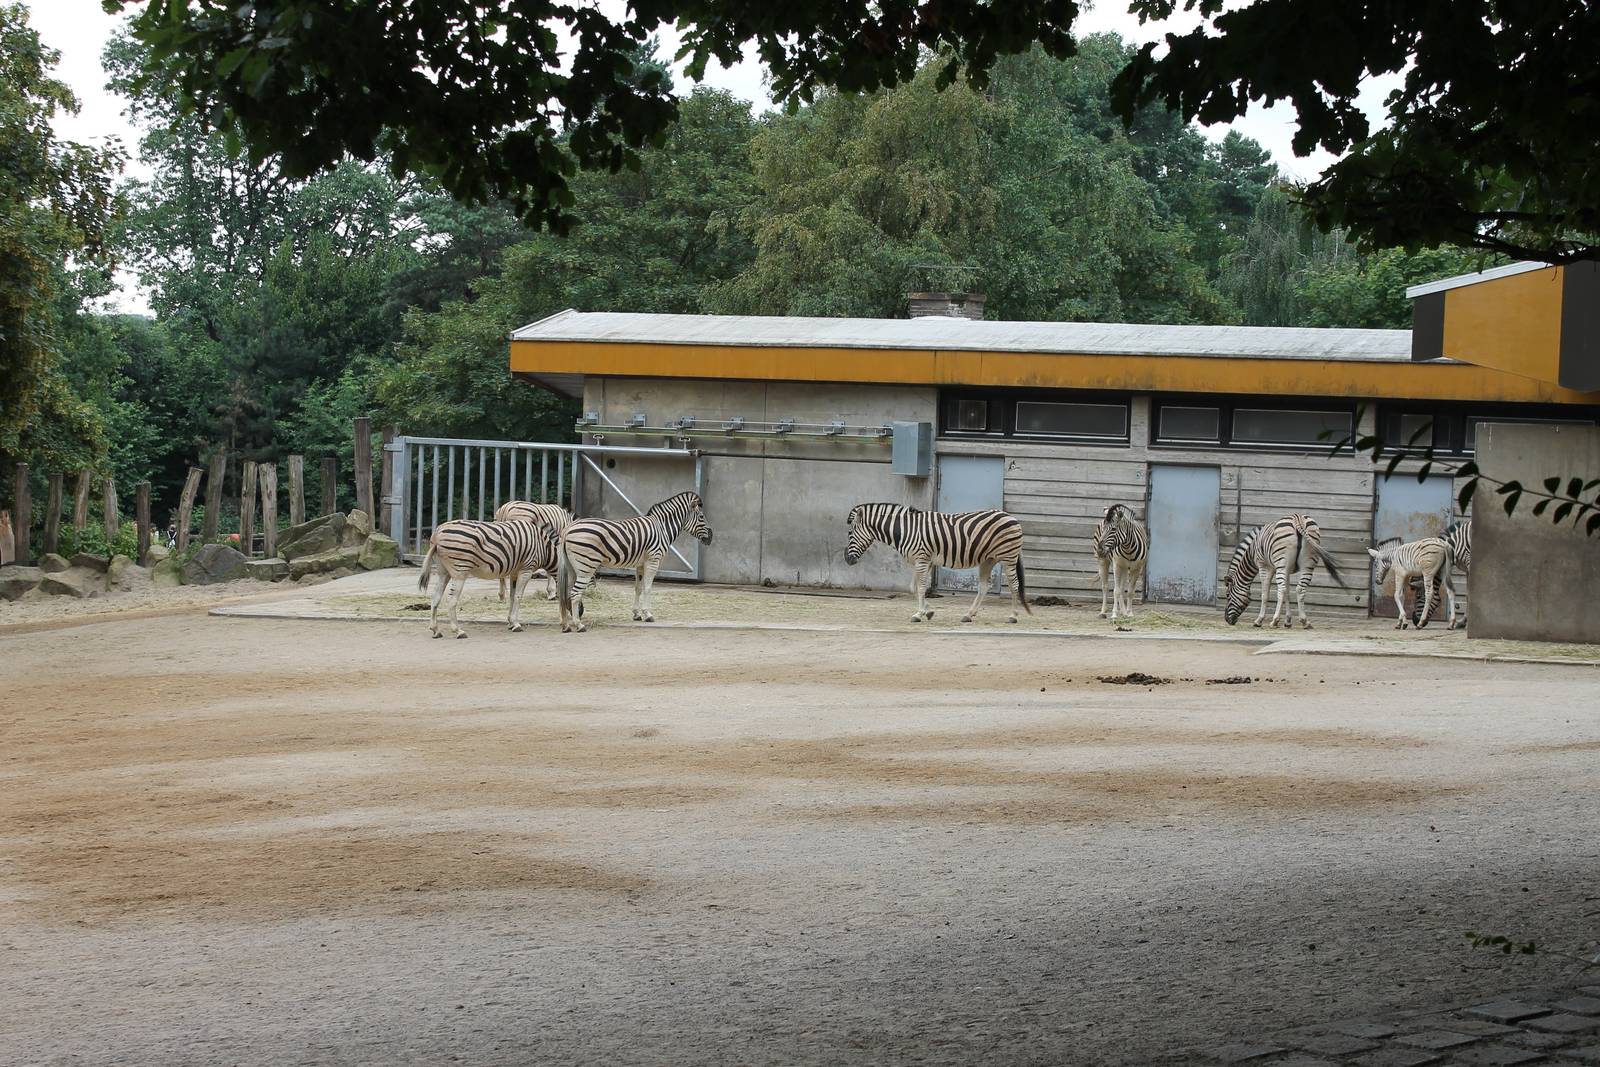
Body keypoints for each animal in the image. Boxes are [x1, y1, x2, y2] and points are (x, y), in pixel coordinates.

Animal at [417, 518, 559, 639]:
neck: (544, 547)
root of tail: (437, 533)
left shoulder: (514, 571)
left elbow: (512, 596)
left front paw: (510, 622)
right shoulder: (526, 570)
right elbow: (518, 596)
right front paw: (516, 624)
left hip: (443, 572)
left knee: (435, 598)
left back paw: (435, 630)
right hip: (460, 571)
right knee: (451, 600)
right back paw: (458, 631)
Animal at [557, 490, 712, 633]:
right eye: (701, 517)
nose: (711, 537)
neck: (662, 528)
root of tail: (568, 529)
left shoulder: (641, 564)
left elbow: (638, 588)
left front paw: (637, 614)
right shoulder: (653, 560)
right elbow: (648, 588)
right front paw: (648, 614)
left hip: (572, 567)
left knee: (567, 592)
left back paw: (568, 623)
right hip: (586, 566)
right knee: (575, 593)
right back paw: (579, 625)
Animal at [845, 503, 1032, 624]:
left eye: (850, 533)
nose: (847, 559)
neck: (906, 530)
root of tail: (1012, 517)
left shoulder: (921, 560)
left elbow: (920, 588)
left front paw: (919, 614)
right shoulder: (923, 561)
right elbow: (913, 588)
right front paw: (929, 611)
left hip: (1008, 556)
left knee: (1014, 584)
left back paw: (1013, 616)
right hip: (988, 559)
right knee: (984, 586)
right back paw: (968, 615)